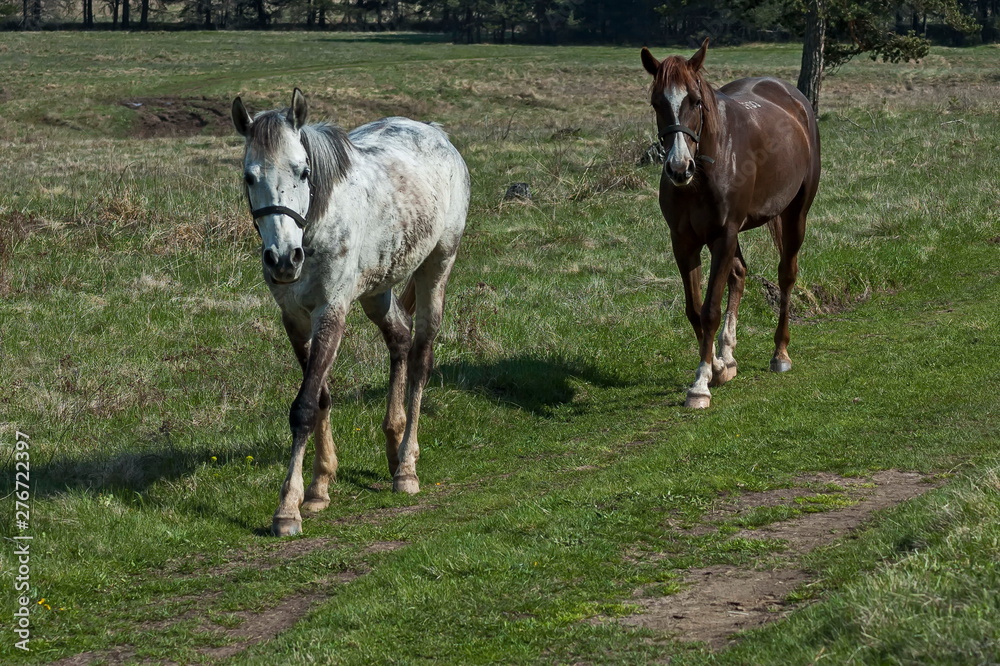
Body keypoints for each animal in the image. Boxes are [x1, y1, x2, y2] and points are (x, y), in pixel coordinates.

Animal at [231, 89, 470, 536]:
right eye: (249, 177)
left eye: (304, 171)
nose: (283, 260)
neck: (314, 228)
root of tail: (436, 133)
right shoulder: (294, 319)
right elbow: (320, 397)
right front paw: (319, 487)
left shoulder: (332, 311)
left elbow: (304, 407)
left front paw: (286, 509)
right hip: (377, 291)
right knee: (399, 338)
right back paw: (393, 447)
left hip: (436, 268)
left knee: (421, 357)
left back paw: (407, 467)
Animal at [640, 40, 821, 409]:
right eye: (656, 103)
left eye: (695, 100)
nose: (679, 168)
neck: (704, 172)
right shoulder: (684, 241)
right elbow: (695, 309)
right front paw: (716, 367)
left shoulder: (724, 235)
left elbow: (710, 308)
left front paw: (700, 386)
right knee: (739, 273)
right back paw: (728, 355)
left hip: (795, 214)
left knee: (786, 275)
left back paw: (780, 353)